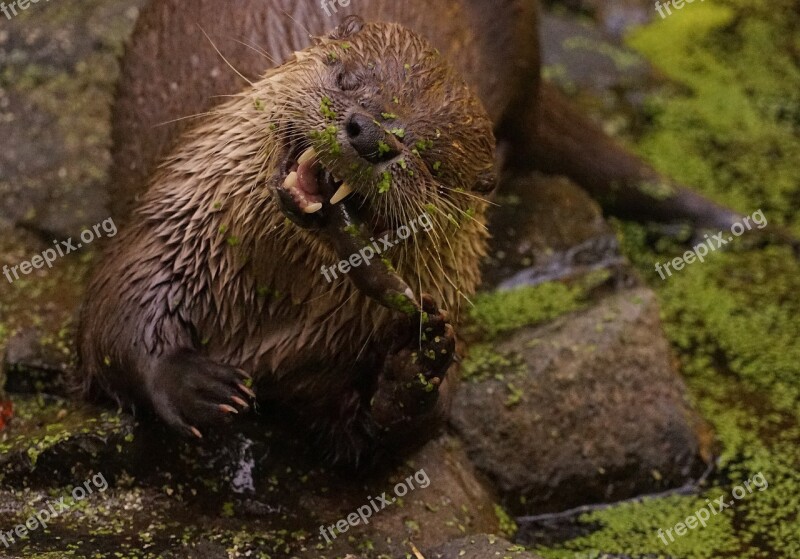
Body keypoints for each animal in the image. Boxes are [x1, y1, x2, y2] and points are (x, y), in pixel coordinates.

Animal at [78, 0, 752, 464]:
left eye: (429, 156)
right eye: (350, 80)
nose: (372, 134)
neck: (268, 318)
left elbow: (375, 438)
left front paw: (419, 365)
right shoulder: (171, 227)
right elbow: (116, 317)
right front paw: (201, 384)